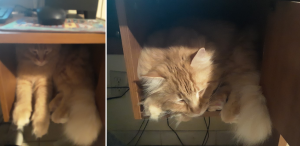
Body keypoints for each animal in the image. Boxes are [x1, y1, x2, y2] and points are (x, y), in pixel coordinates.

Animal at [138, 21, 272, 145]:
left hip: (237, 65)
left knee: (237, 88)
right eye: (181, 100)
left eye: (201, 91)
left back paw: (228, 111)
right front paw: (154, 109)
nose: (198, 111)